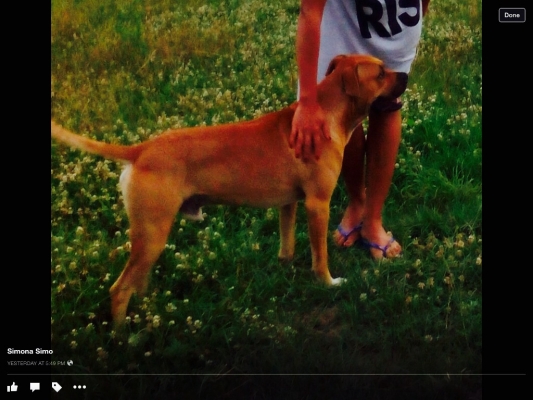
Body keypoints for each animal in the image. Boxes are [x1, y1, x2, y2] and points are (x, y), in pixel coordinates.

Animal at [51, 54, 407, 325]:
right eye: (380, 73)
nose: (405, 74)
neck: (326, 115)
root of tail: (141, 151)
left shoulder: (289, 204)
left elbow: (287, 242)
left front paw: (285, 267)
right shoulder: (317, 204)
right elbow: (320, 255)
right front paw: (328, 282)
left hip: (148, 237)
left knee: (135, 281)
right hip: (152, 232)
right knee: (119, 289)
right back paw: (123, 337)